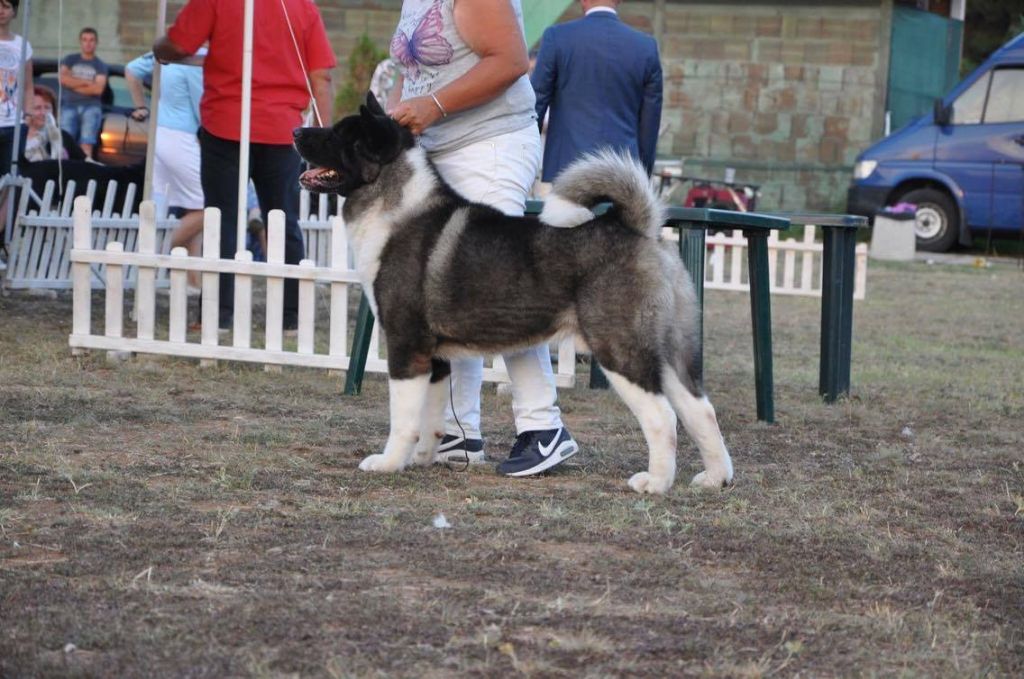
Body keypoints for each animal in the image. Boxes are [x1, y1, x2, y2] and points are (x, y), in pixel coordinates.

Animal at [292, 93, 733, 493]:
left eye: (340, 135)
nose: (296, 131)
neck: (394, 203)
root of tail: (639, 230)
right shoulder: (435, 358)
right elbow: (430, 419)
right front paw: (422, 459)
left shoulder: (406, 347)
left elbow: (403, 419)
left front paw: (388, 463)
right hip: (669, 350)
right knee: (700, 409)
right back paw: (715, 478)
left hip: (619, 349)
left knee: (663, 417)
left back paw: (655, 482)